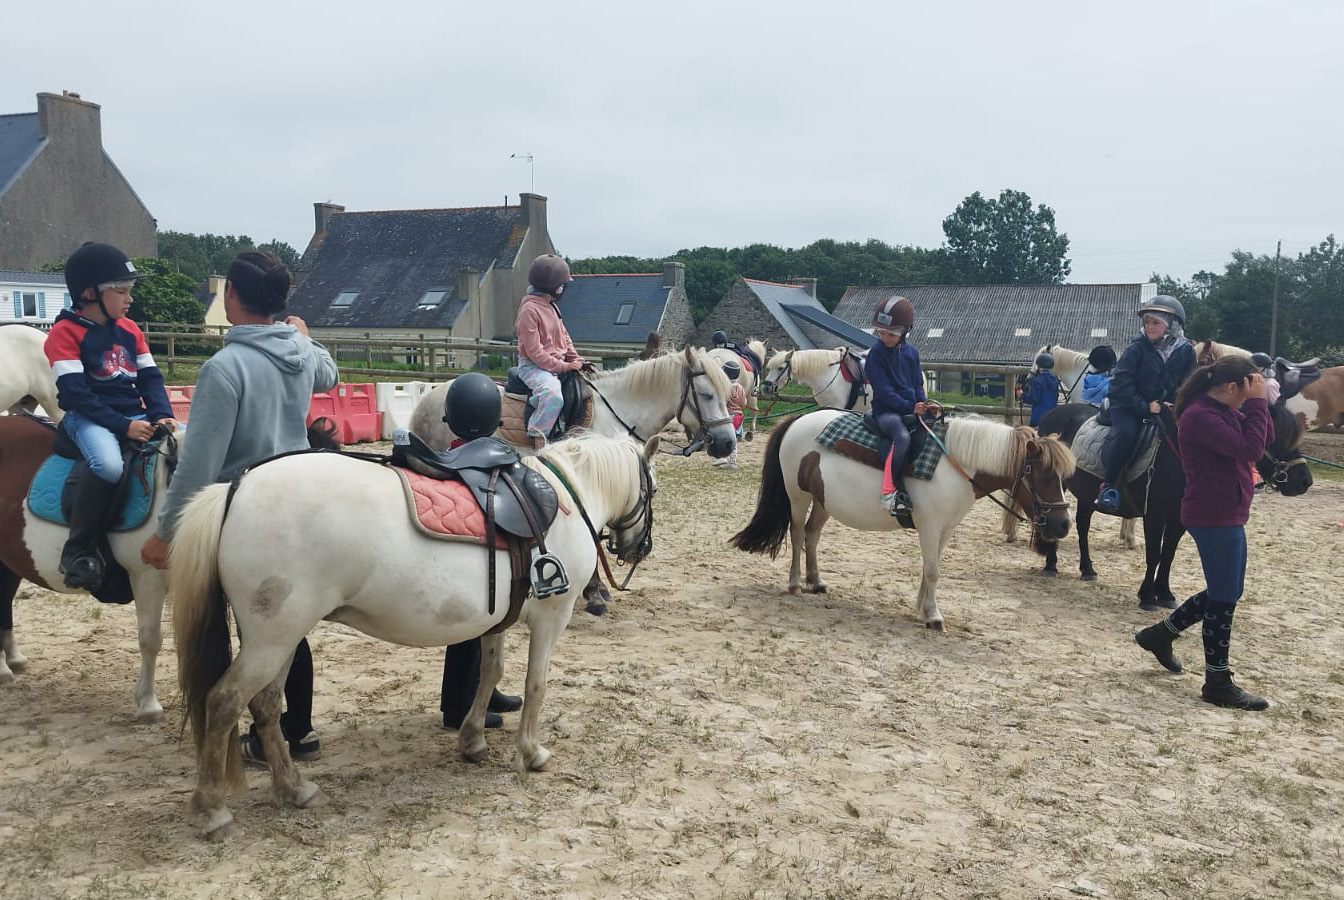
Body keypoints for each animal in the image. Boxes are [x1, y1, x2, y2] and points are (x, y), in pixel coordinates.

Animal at [170, 432, 663, 843]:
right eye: (653, 489)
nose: (640, 548)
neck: (565, 497)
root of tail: (235, 489)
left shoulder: (497, 622)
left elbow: (490, 673)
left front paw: (472, 741)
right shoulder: (551, 616)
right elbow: (536, 684)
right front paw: (531, 752)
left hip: (282, 640)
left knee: (267, 706)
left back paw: (294, 789)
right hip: (270, 641)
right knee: (224, 703)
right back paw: (213, 811)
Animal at [731, 413, 1075, 631]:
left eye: (1062, 477)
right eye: (1045, 475)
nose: (1063, 525)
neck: (957, 464)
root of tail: (797, 421)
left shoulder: (945, 528)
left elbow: (929, 567)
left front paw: (922, 608)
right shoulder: (931, 525)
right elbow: (933, 571)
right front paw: (933, 616)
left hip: (823, 499)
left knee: (813, 535)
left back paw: (816, 582)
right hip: (798, 495)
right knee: (799, 533)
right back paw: (794, 584)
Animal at [1037, 405, 1311, 609]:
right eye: (1275, 436)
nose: (1304, 480)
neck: (1181, 453)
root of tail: (1052, 414)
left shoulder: (1179, 518)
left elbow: (1168, 554)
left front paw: (1165, 594)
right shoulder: (1155, 515)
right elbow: (1154, 554)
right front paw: (1148, 597)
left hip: (1086, 493)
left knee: (1082, 525)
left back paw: (1087, 569)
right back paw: (1051, 565)